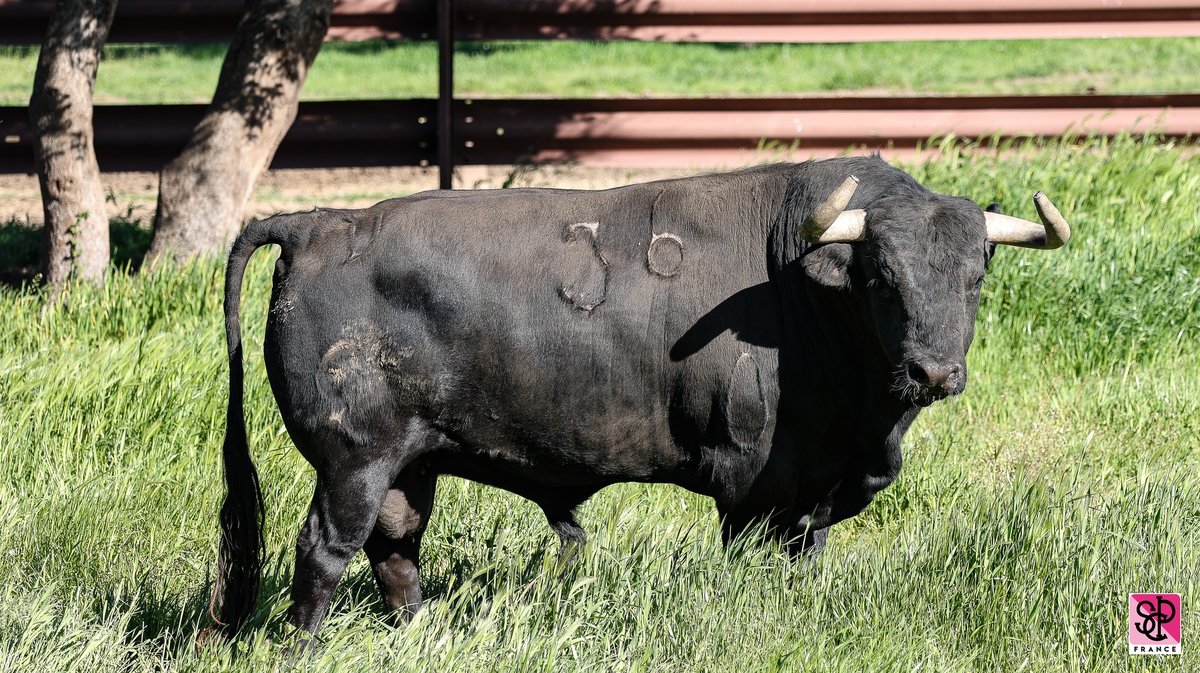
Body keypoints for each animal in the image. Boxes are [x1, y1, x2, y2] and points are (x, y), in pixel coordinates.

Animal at [213, 155, 1070, 633]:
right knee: (325, 551)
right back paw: (305, 646)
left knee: (396, 550)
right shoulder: (751, 487)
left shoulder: (811, 494)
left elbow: (805, 563)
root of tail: (319, 222)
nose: (934, 372)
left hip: (409, 463)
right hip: (353, 461)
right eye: (881, 277)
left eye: (975, 276)